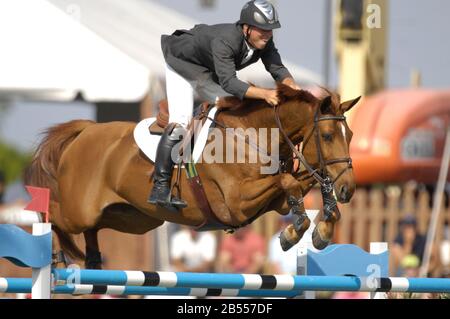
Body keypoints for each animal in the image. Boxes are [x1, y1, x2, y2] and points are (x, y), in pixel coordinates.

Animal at [27, 84, 358, 268]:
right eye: (328, 136)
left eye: (351, 135)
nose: (348, 190)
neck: (251, 135)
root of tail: (86, 131)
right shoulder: (235, 204)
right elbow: (288, 181)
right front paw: (295, 230)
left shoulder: (274, 202)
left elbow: (303, 183)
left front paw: (322, 226)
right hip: (79, 210)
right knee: (54, 215)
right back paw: (53, 254)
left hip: (133, 218)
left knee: (93, 229)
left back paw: (93, 260)